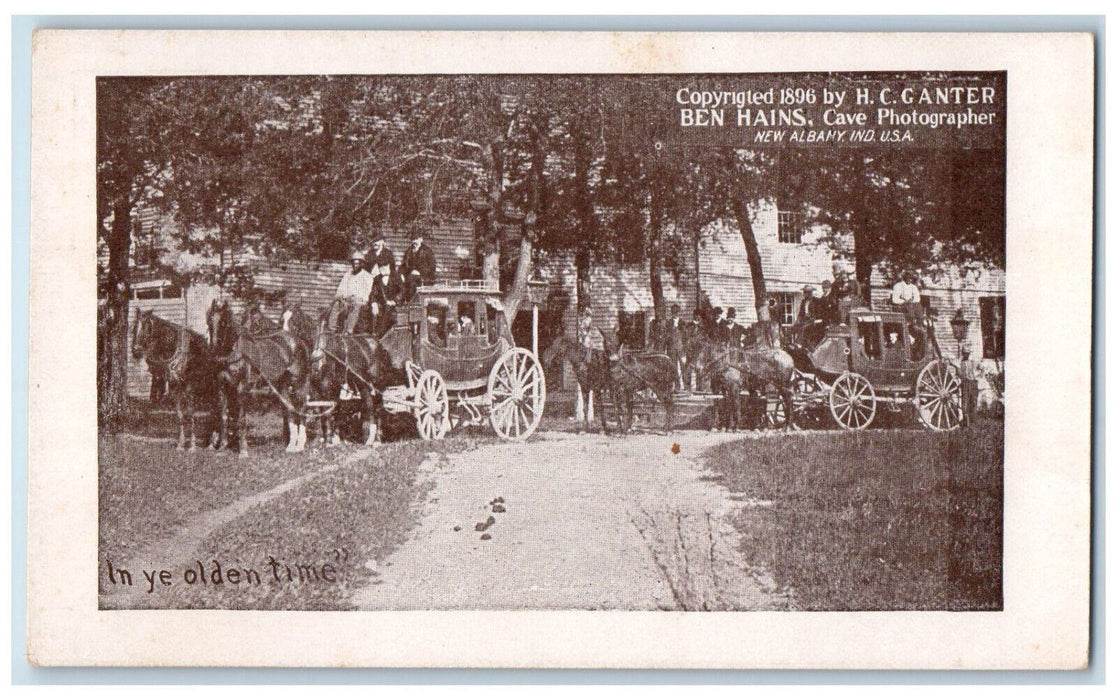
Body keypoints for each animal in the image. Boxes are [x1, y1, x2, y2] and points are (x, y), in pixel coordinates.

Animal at [130, 310, 217, 448]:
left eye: (148, 328)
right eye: (134, 329)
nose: (136, 351)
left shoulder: (189, 388)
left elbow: (190, 413)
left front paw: (192, 445)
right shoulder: (174, 387)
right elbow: (179, 414)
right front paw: (180, 444)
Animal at [204, 299, 310, 455]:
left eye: (224, 322)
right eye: (210, 321)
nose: (213, 347)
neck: (232, 353)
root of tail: (298, 341)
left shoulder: (241, 389)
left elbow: (241, 419)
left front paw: (243, 450)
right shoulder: (222, 388)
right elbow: (223, 417)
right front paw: (222, 446)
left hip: (298, 382)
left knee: (301, 408)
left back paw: (300, 444)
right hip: (281, 385)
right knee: (289, 408)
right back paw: (290, 445)